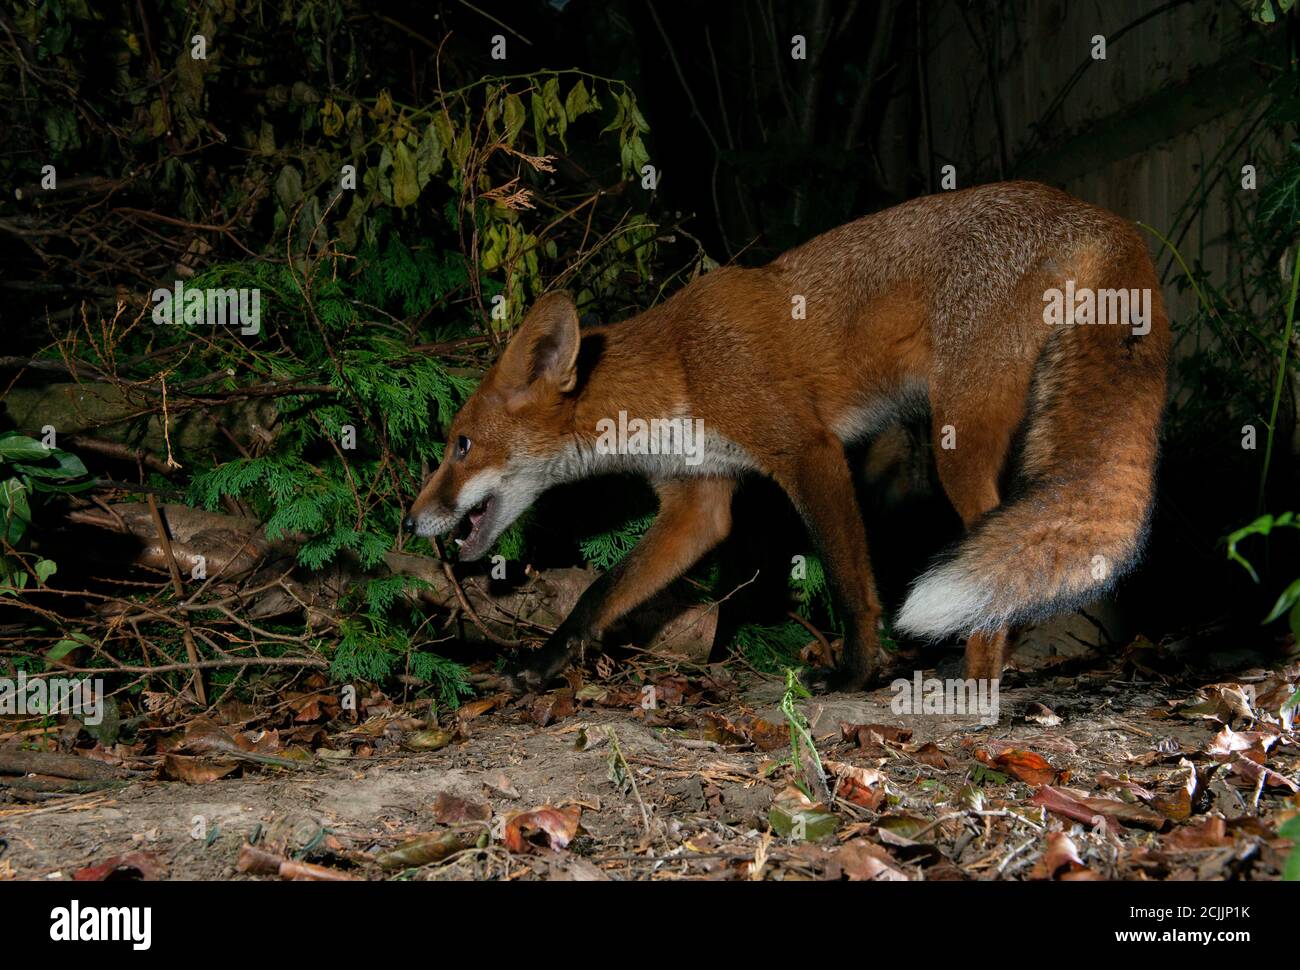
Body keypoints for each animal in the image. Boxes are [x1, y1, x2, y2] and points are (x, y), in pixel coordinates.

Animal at [405, 182, 1170, 691]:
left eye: (460, 446)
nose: (411, 520)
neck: (678, 367)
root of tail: (1093, 213)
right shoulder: (698, 502)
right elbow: (600, 594)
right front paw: (540, 664)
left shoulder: (808, 451)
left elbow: (852, 583)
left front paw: (857, 672)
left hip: (957, 440)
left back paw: (977, 681)